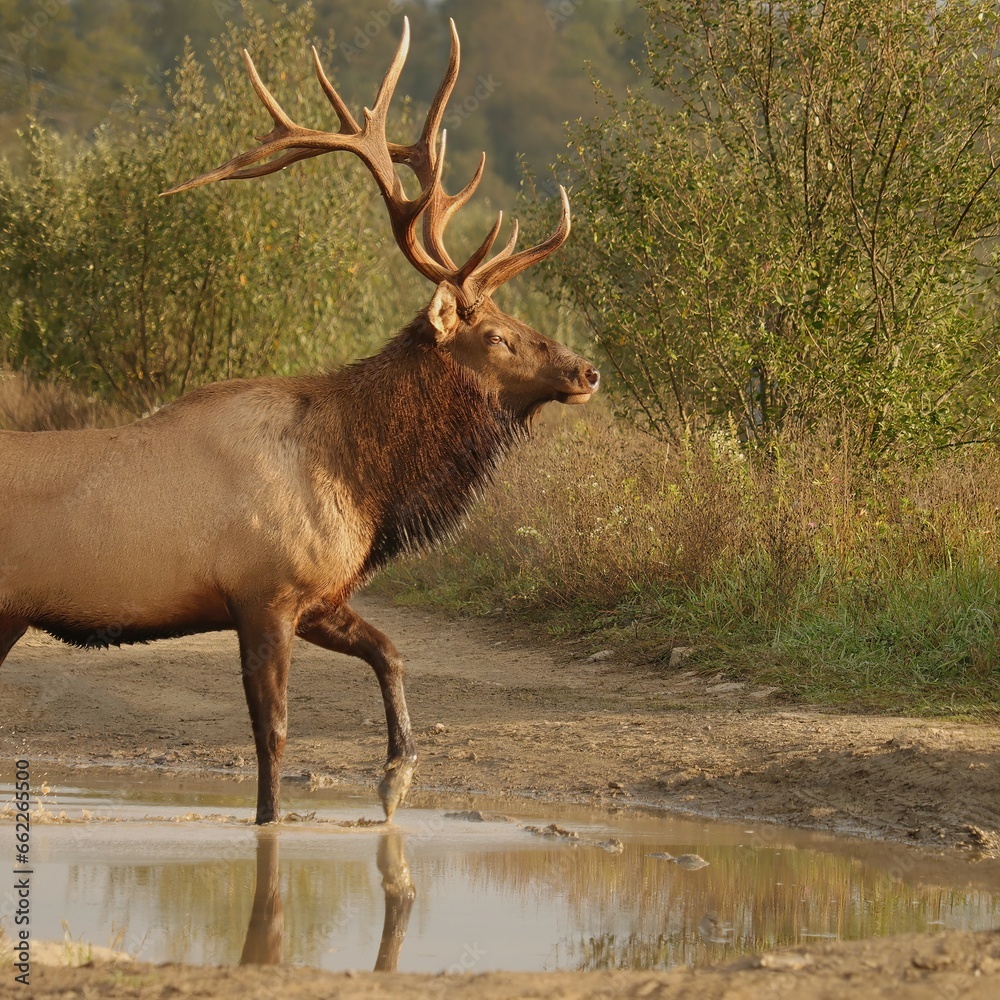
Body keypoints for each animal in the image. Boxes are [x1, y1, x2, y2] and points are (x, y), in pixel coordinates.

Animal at [0, 17, 598, 824]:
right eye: (498, 335)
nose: (586, 371)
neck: (361, 481)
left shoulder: (320, 596)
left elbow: (391, 652)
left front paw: (396, 775)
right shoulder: (265, 593)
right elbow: (274, 736)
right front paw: (272, 823)